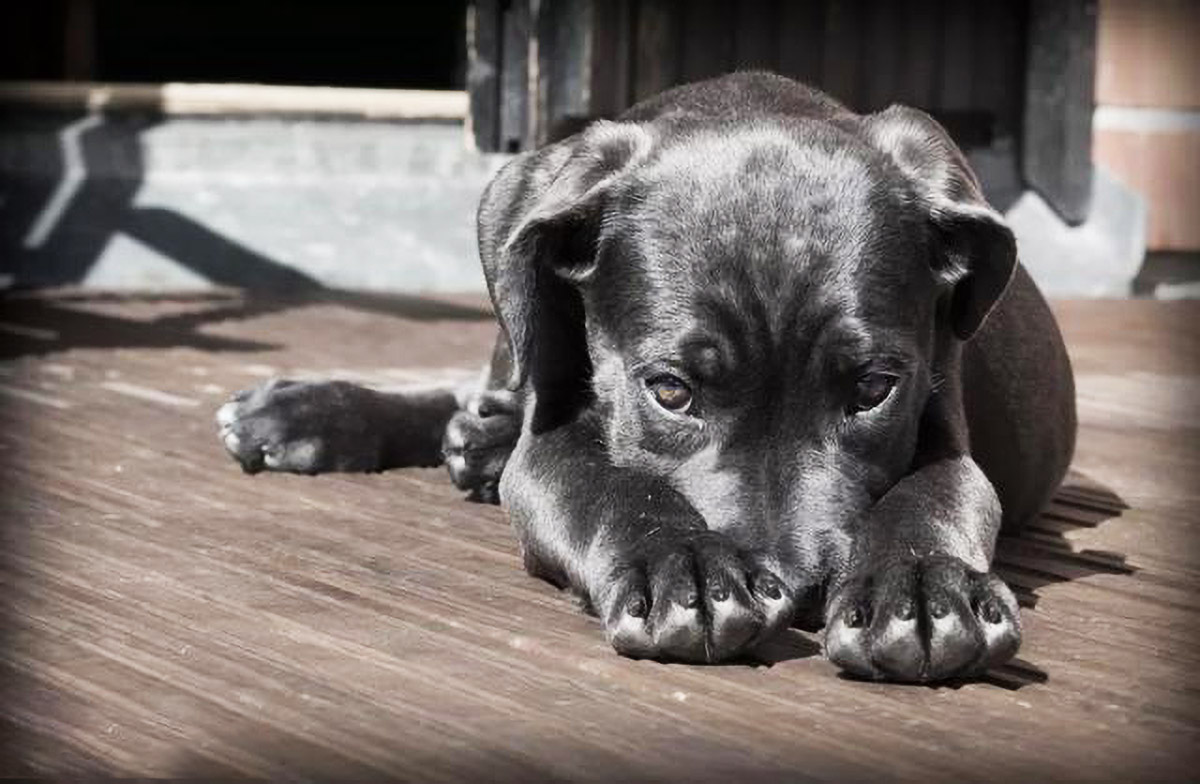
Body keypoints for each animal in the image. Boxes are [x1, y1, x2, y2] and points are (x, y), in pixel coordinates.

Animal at [218, 76, 1080, 681]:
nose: (799, 589)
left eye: (873, 390)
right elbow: (608, 485)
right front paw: (685, 567)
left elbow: (935, 494)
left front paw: (924, 589)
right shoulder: (555, 439)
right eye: (670, 390)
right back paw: (313, 414)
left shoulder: (942, 421)